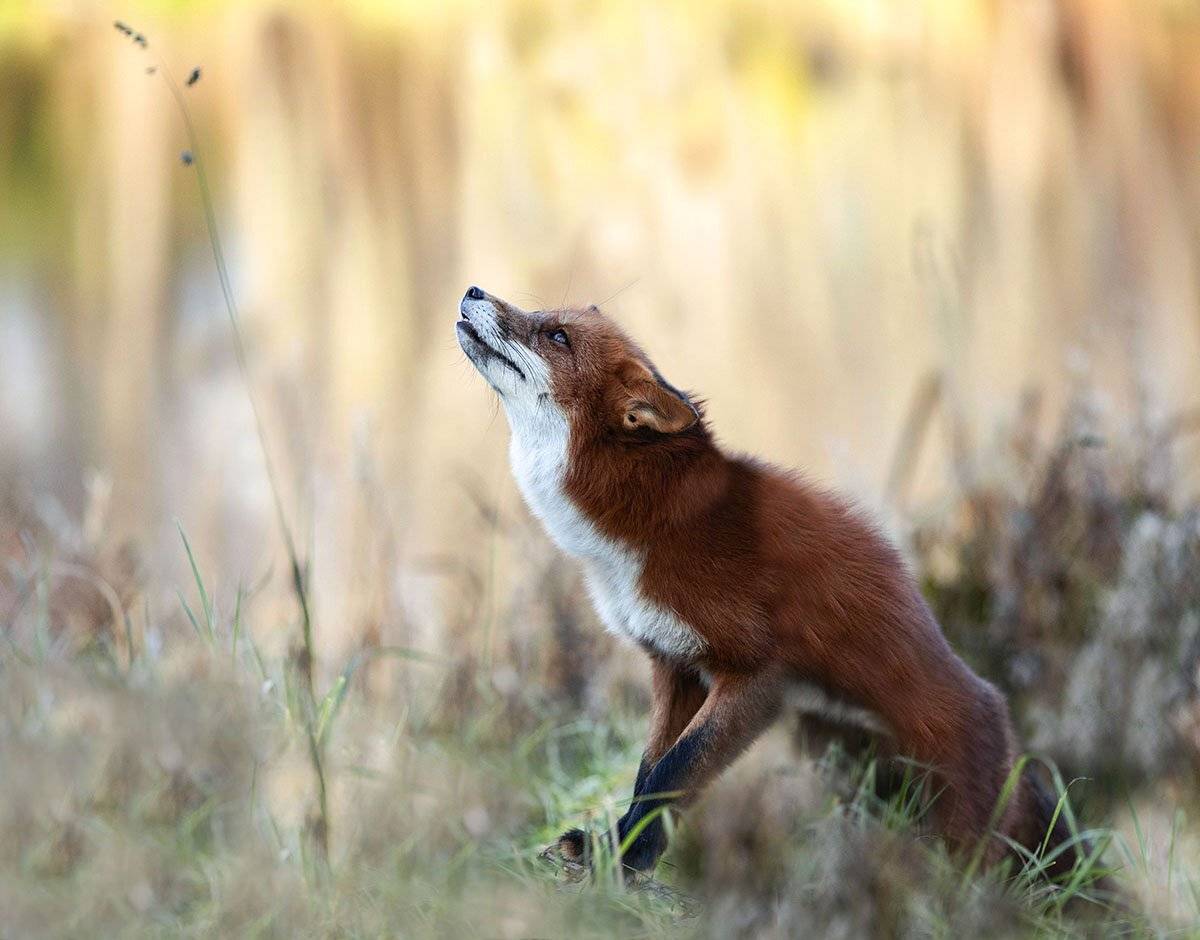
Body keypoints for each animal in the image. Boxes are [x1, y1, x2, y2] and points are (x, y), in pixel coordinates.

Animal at [455, 285, 1082, 878]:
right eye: (547, 319)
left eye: (556, 336)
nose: (473, 291)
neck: (646, 530)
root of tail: (1009, 735)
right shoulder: (675, 664)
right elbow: (648, 772)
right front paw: (611, 850)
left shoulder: (757, 671)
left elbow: (675, 771)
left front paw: (629, 861)